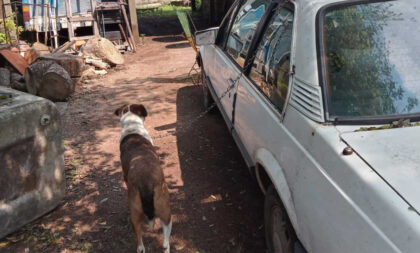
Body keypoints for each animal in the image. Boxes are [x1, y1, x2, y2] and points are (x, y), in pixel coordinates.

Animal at [115, 104, 172, 252]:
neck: (132, 128)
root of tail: (145, 182)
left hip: (137, 216)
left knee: (141, 243)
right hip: (166, 213)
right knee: (165, 241)